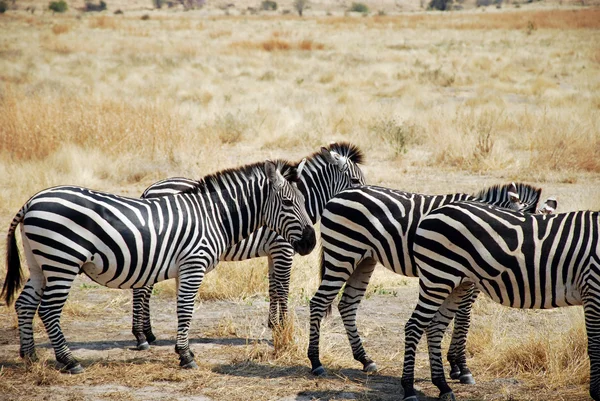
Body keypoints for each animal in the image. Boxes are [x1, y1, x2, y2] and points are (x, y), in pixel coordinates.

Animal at [1, 159, 318, 372]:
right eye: (288, 202)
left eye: (305, 200)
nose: (311, 242)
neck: (214, 216)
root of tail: (32, 201)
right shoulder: (194, 264)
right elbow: (186, 310)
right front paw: (186, 356)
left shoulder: (185, 268)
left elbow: (184, 310)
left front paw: (183, 351)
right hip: (62, 261)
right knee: (48, 310)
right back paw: (69, 361)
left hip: (39, 263)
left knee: (25, 304)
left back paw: (30, 355)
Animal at [131, 142, 366, 348]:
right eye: (355, 180)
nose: (363, 200)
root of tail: (149, 189)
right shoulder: (283, 249)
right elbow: (283, 288)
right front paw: (283, 327)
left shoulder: (273, 252)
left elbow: (273, 287)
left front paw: (273, 324)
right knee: (142, 288)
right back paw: (141, 336)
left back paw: (148, 333)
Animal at [308, 182, 540, 382]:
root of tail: (339, 194)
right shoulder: (467, 279)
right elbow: (463, 319)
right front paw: (462, 368)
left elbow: (456, 318)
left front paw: (455, 366)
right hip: (342, 253)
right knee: (319, 302)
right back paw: (316, 362)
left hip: (364, 259)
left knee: (347, 304)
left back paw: (365, 359)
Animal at [408, 202, 600, 400]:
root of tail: (434, 212)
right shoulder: (592, 286)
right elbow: (595, 345)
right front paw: (596, 392)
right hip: (438, 277)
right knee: (413, 326)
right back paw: (408, 389)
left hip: (455, 284)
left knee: (434, 328)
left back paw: (443, 386)